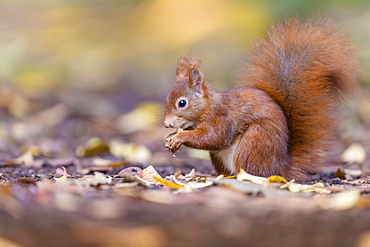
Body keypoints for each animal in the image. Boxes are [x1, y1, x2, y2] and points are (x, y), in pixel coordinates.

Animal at [163, 17, 358, 179]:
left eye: (182, 103)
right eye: (166, 100)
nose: (166, 124)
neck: (209, 107)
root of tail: (280, 169)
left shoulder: (222, 118)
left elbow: (214, 137)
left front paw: (180, 137)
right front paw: (171, 137)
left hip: (255, 140)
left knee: (252, 172)